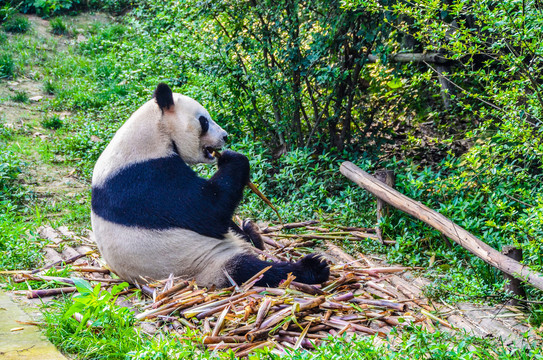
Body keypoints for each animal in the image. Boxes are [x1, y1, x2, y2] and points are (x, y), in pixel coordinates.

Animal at [90, 83, 328, 288]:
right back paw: (312, 268)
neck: (153, 132)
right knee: (252, 270)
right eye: (203, 121)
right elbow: (206, 211)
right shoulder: (146, 179)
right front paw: (234, 159)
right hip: (199, 263)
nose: (225, 136)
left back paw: (251, 232)